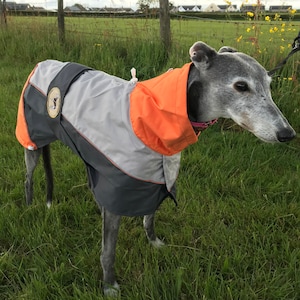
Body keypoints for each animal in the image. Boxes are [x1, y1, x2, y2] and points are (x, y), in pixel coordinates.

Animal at [15, 41, 296, 296]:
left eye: (269, 84)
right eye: (241, 86)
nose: (287, 134)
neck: (156, 116)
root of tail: (43, 63)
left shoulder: (157, 177)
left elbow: (148, 217)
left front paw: (154, 243)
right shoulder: (117, 191)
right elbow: (108, 251)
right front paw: (109, 286)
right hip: (31, 140)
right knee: (28, 179)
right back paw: (29, 208)